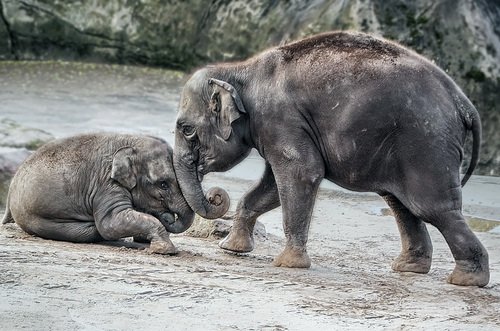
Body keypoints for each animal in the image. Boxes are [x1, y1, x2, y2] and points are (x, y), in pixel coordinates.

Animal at [1, 133, 193, 254]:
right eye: (163, 184)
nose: (168, 216)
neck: (131, 142)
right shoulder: (106, 185)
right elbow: (110, 223)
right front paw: (165, 250)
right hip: (38, 219)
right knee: (93, 231)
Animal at [172, 31, 488, 286]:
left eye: (187, 130)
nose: (214, 195)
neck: (240, 71)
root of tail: (464, 103)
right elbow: (271, 187)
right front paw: (231, 248)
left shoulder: (281, 120)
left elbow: (301, 173)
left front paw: (288, 264)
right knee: (401, 203)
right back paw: (409, 268)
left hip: (426, 143)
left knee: (431, 207)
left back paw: (467, 280)